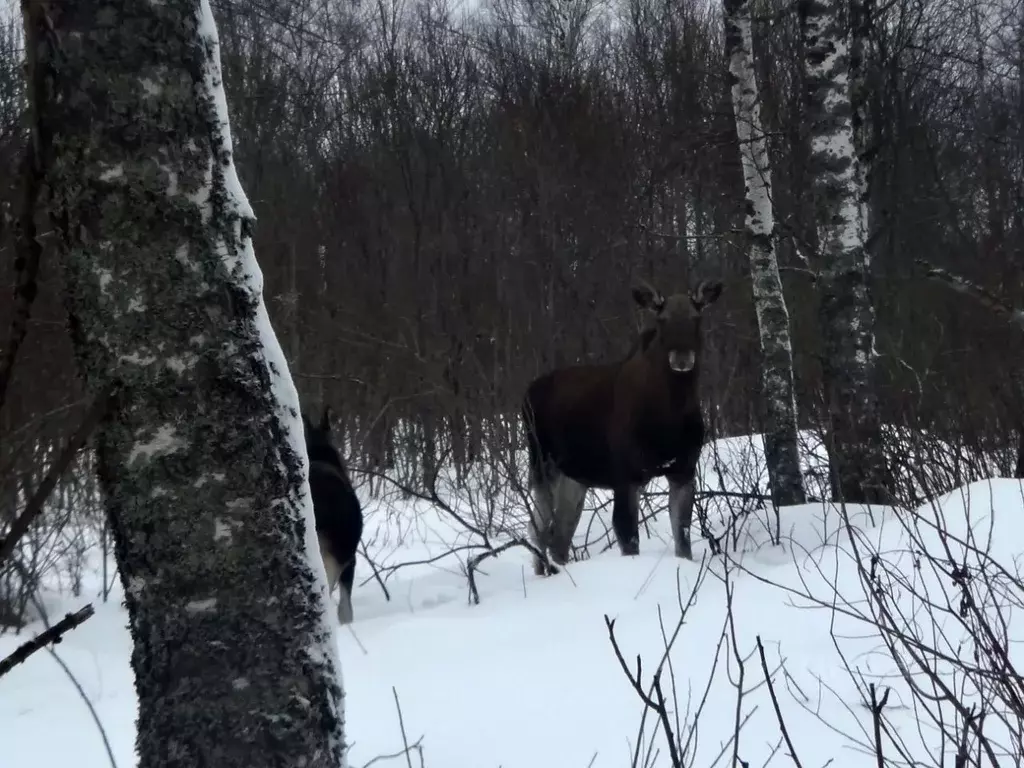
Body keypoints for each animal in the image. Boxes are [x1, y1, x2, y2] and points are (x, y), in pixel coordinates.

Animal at [524, 278, 724, 577]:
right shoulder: (626, 475)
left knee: (559, 536)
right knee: (538, 531)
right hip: (541, 466)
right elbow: (628, 538)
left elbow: (683, 541)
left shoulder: (683, 471)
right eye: (662, 319)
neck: (669, 417)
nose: (681, 357)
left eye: (696, 317)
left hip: (575, 478)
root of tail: (527, 393)